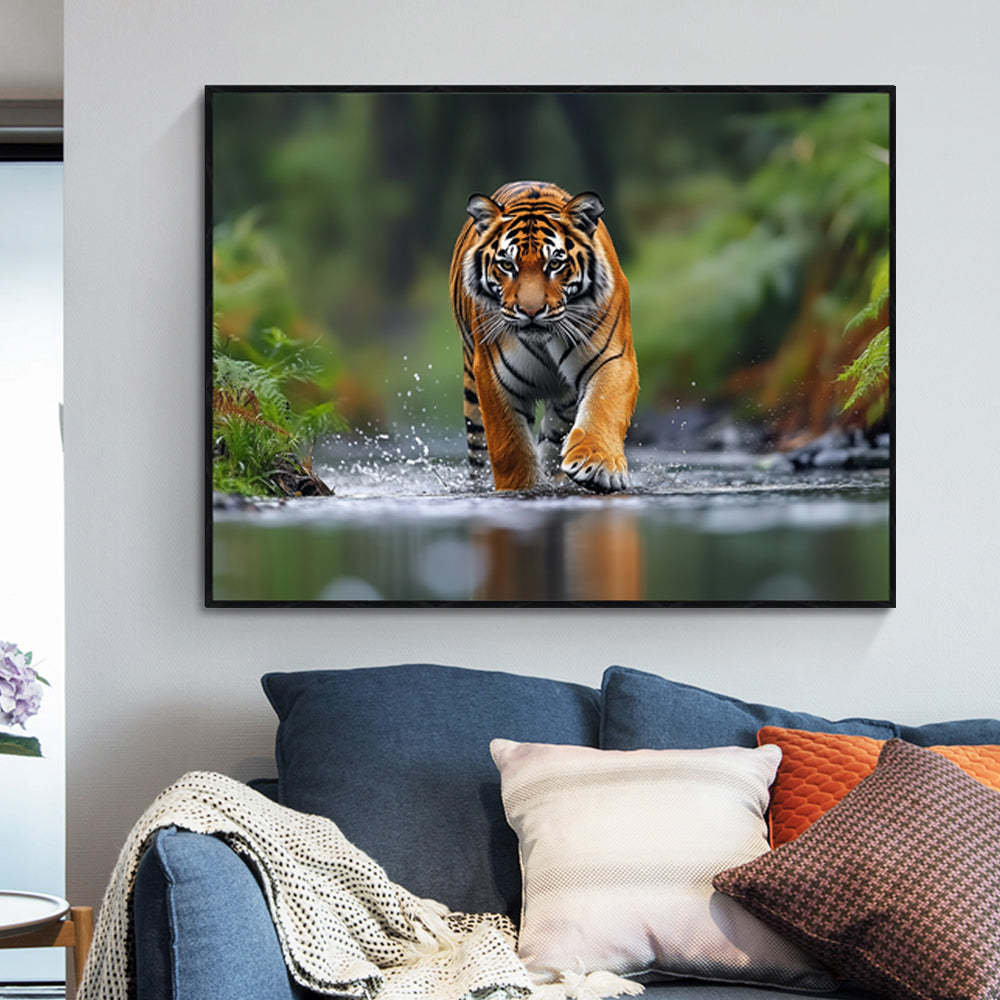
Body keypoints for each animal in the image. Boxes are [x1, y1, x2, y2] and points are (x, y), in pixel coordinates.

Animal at [449, 180, 639, 493]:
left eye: (555, 264)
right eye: (507, 265)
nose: (531, 310)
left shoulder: (612, 357)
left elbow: (604, 406)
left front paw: (597, 466)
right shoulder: (493, 376)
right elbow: (510, 446)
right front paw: (521, 487)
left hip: (564, 405)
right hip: (472, 402)